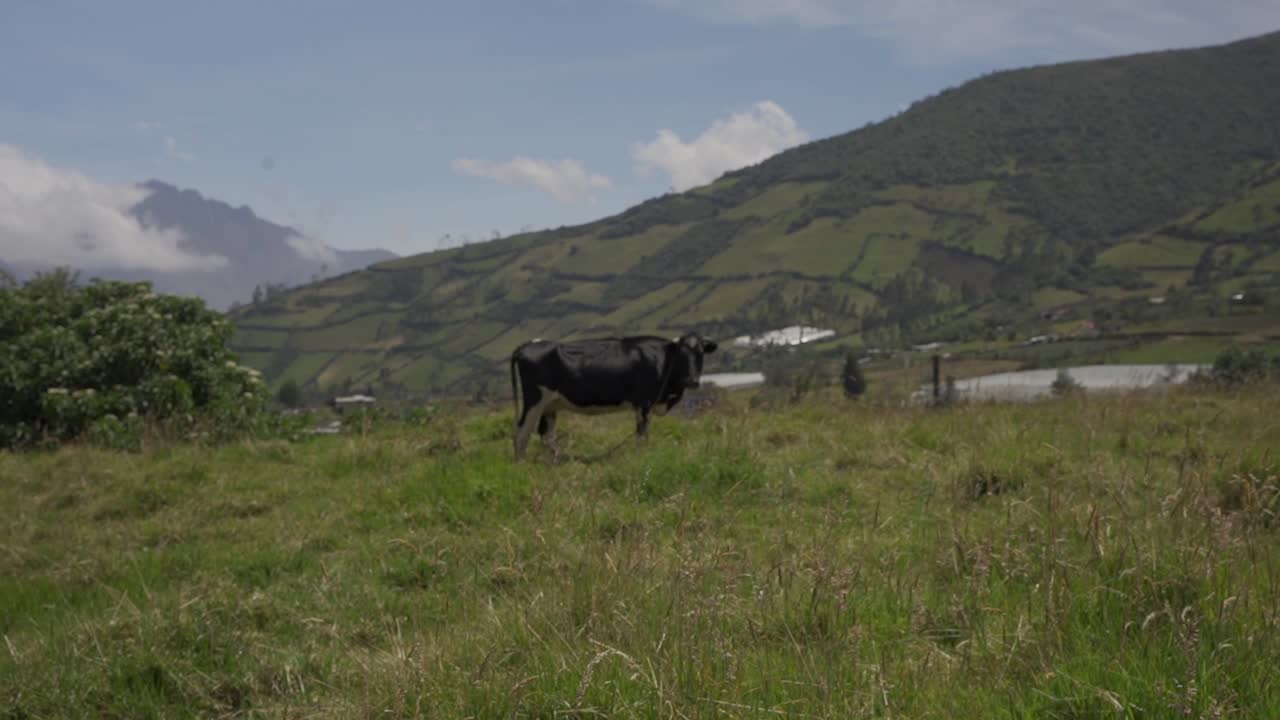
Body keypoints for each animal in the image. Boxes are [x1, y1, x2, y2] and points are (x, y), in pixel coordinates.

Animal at [509, 332, 718, 461]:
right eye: (681, 354)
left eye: (701, 353)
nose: (693, 381)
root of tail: (527, 345)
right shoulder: (644, 403)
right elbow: (642, 434)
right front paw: (642, 457)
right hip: (534, 400)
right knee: (522, 432)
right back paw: (521, 464)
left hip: (551, 405)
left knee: (546, 435)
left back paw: (556, 460)